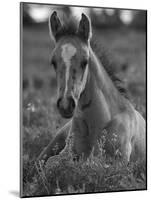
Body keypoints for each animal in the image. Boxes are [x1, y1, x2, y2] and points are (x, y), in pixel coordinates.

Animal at [38, 10, 146, 164]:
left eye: (85, 61)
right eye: (53, 62)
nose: (65, 105)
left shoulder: (118, 161)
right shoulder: (67, 153)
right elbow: (51, 163)